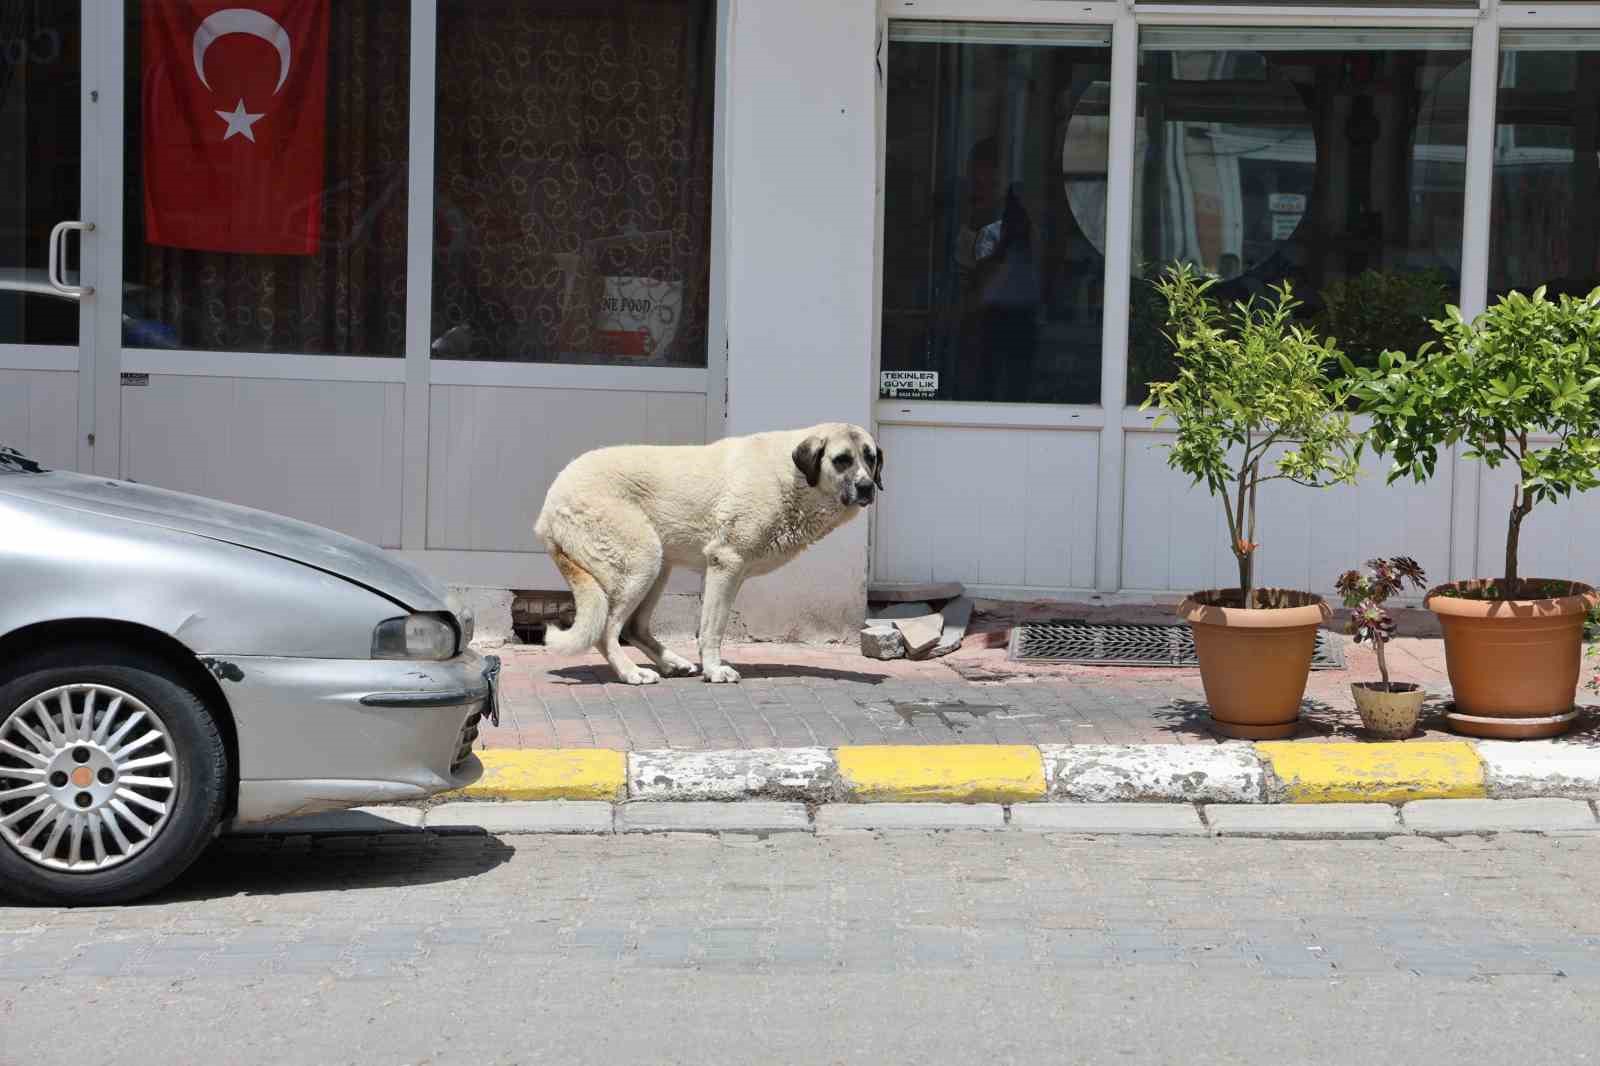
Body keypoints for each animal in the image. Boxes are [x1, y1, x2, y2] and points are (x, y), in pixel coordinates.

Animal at [537, 422, 889, 681]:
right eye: (842, 460)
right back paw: (631, 673)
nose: (866, 487)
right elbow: (712, 628)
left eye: (870, 458)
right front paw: (715, 670)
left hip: (658, 567)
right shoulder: (726, 565)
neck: (796, 479)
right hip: (642, 563)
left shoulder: (726, 572)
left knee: (634, 627)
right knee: (607, 630)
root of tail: (550, 503)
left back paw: (672, 664)